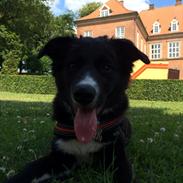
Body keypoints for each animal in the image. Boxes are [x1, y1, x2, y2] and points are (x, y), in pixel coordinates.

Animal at [4, 36, 150, 182]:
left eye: (106, 67)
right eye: (72, 65)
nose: (84, 94)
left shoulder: (117, 157)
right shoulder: (59, 156)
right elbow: (29, 169)